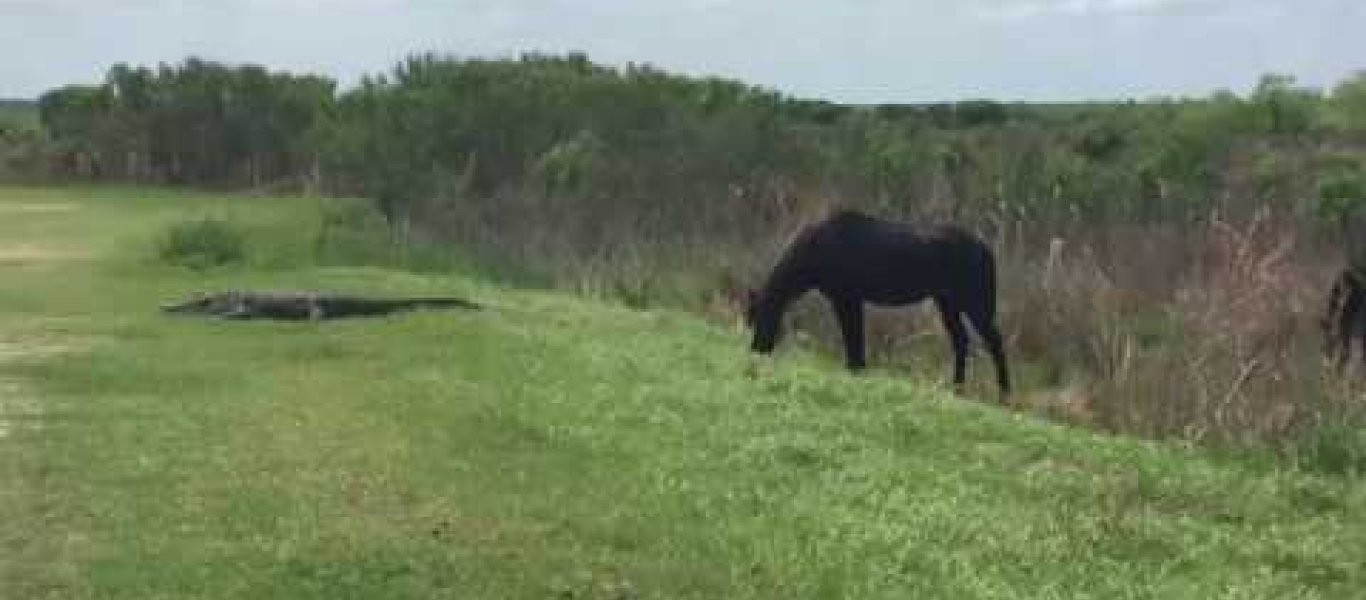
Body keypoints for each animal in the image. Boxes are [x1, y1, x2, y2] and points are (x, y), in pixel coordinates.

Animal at [743, 211, 1010, 399]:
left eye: (762, 316)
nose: (756, 350)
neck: (809, 260)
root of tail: (987, 251)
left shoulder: (846, 296)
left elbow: (853, 338)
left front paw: (856, 369)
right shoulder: (848, 297)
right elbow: (854, 340)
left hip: (975, 301)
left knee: (995, 342)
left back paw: (1004, 393)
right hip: (947, 301)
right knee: (961, 340)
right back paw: (957, 388)